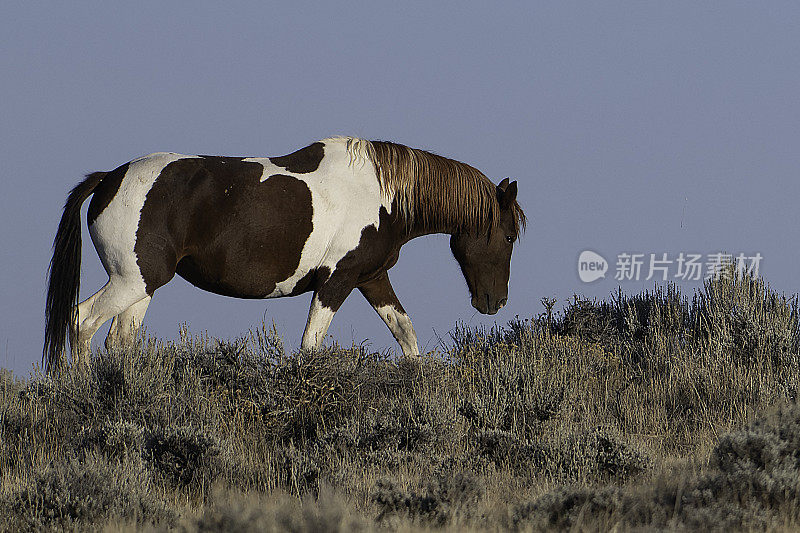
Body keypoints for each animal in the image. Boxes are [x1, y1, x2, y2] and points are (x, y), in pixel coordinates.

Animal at [47, 137, 528, 370]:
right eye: (508, 237)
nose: (495, 302)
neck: (382, 195)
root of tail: (109, 178)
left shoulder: (372, 279)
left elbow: (406, 335)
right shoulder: (337, 281)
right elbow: (311, 345)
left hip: (142, 286)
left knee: (119, 341)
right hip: (131, 280)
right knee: (82, 320)